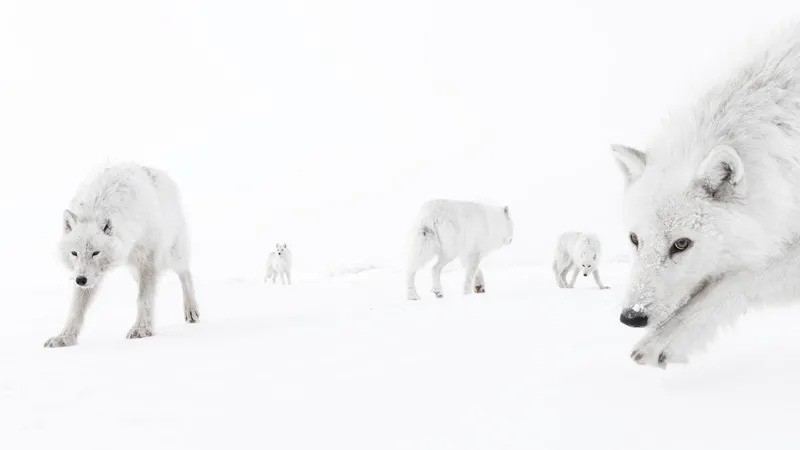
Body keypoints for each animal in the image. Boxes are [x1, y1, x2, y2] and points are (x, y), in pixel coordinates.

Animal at [45, 164, 199, 348]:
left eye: (95, 253)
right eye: (74, 253)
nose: (80, 280)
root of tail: (159, 172)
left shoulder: (147, 261)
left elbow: (143, 298)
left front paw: (141, 329)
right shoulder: (87, 275)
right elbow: (76, 309)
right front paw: (64, 338)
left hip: (172, 256)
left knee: (186, 274)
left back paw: (191, 310)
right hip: (134, 270)